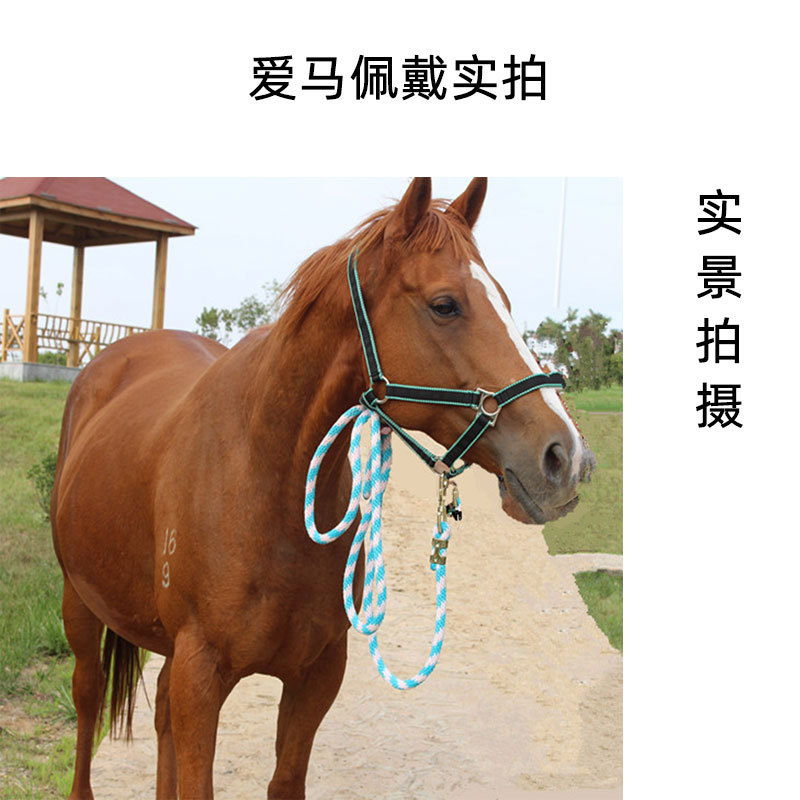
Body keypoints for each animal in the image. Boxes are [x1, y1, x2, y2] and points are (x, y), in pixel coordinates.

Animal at [51, 177, 595, 799]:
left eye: (503, 299)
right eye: (445, 304)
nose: (566, 458)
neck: (265, 487)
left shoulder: (315, 675)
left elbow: (283, 778)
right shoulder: (201, 674)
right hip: (80, 604)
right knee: (89, 695)